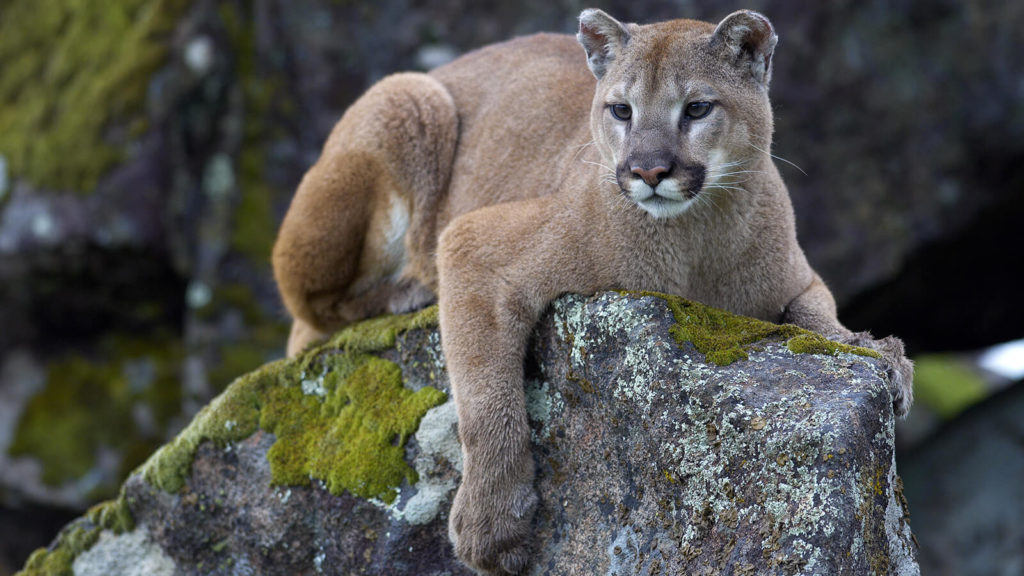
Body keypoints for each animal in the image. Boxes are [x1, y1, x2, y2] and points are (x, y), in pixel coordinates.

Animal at [270, 6, 913, 569]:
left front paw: (876, 353)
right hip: (408, 98)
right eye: (621, 110)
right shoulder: (472, 244)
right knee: (307, 316)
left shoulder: (798, 277)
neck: (694, 241)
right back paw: (406, 292)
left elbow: (818, 316)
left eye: (697, 108)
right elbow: (486, 400)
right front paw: (492, 526)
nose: (648, 171)